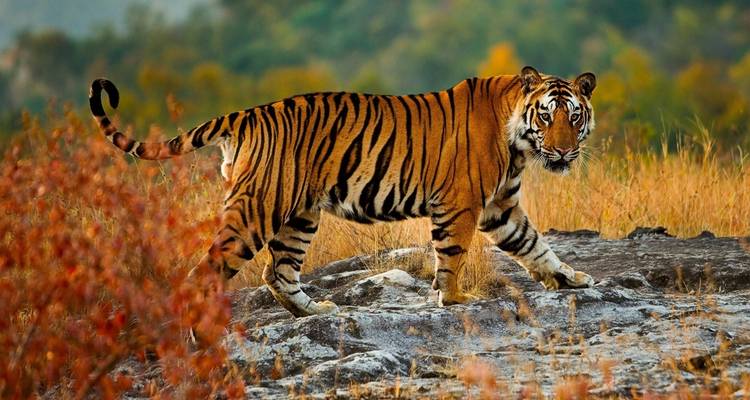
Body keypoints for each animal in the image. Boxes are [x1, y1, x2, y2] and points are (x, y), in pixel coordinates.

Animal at [89, 66, 597, 317]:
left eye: (574, 117)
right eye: (546, 116)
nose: (563, 151)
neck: (519, 143)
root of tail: (247, 114)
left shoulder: (500, 207)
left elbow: (535, 245)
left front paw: (570, 279)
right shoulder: (461, 204)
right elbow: (452, 256)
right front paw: (454, 301)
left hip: (298, 215)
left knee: (278, 272)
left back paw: (315, 311)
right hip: (257, 210)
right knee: (206, 272)